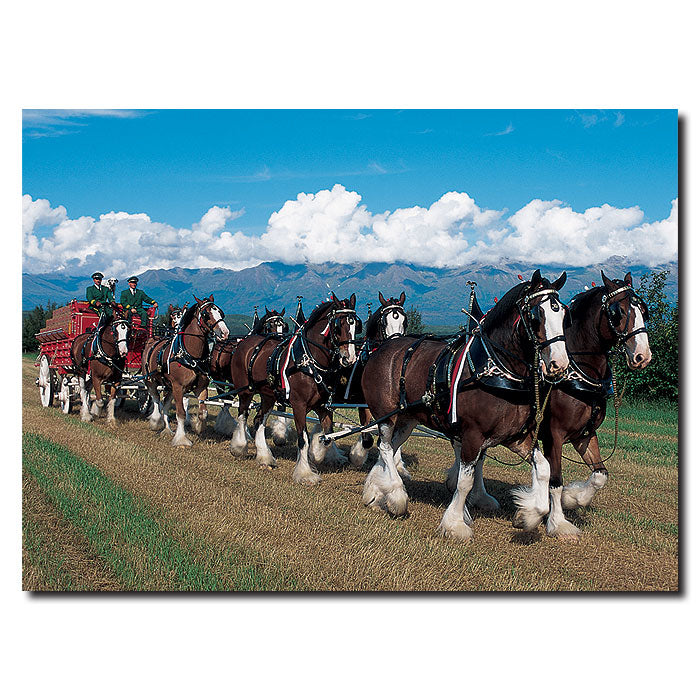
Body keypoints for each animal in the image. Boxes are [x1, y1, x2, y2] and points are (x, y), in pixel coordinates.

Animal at [141, 296, 228, 448]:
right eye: (206, 314)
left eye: (220, 312)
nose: (225, 332)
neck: (190, 355)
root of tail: (152, 339)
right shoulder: (178, 386)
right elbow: (180, 413)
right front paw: (181, 439)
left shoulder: (200, 387)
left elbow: (203, 412)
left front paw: (198, 427)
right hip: (150, 380)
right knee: (156, 399)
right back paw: (156, 421)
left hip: (169, 387)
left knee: (165, 404)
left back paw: (167, 429)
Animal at [230, 292, 360, 484]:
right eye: (338, 325)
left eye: (356, 325)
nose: (349, 358)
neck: (309, 360)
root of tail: (244, 342)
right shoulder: (299, 405)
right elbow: (303, 439)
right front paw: (305, 473)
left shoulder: (322, 406)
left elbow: (328, 434)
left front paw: (320, 454)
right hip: (245, 391)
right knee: (242, 415)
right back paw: (239, 447)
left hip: (269, 396)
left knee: (259, 420)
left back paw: (265, 457)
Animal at [360, 270, 568, 540]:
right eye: (536, 316)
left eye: (563, 313)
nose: (559, 364)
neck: (495, 369)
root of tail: (383, 348)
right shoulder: (472, 435)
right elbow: (465, 481)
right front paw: (455, 524)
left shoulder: (515, 436)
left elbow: (543, 468)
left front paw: (528, 515)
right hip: (386, 414)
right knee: (385, 447)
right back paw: (396, 496)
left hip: (407, 419)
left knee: (391, 448)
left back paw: (375, 491)